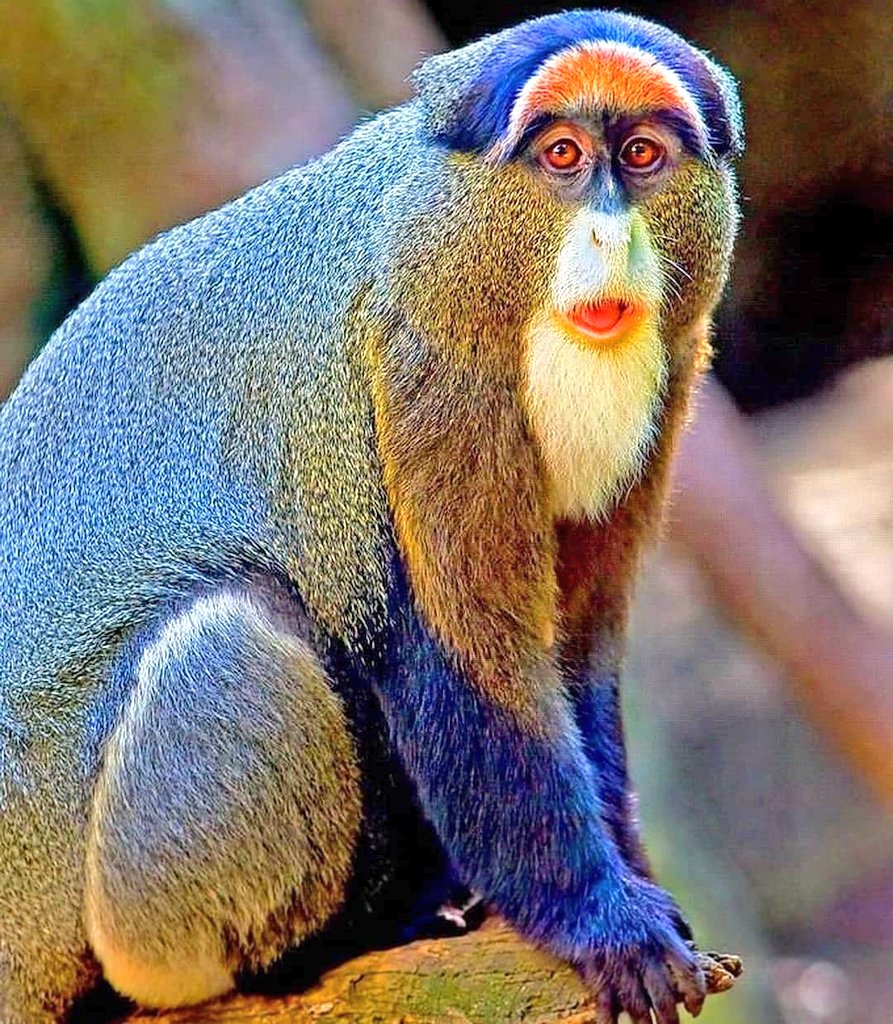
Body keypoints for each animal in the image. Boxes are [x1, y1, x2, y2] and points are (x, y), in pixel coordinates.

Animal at [0, 9, 743, 1023]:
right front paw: (604, 920)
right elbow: (467, 653)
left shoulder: (674, 362)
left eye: (639, 154)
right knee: (230, 630)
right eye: (560, 154)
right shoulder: (425, 360)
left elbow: (577, 655)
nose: (608, 233)